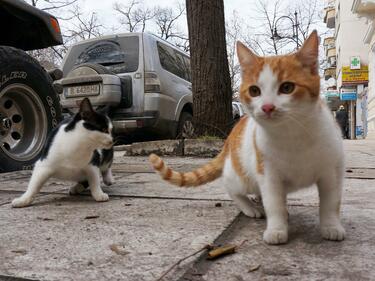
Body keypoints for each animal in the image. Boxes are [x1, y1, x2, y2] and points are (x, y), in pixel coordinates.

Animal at [148, 30, 346, 244]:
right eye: (254, 91)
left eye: (287, 88)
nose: (267, 107)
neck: (291, 133)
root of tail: (230, 138)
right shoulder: (268, 173)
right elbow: (274, 203)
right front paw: (276, 228)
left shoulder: (332, 172)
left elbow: (330, 203)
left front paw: (331, 226)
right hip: (243, 175)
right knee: (230, 186)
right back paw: (250, 208)